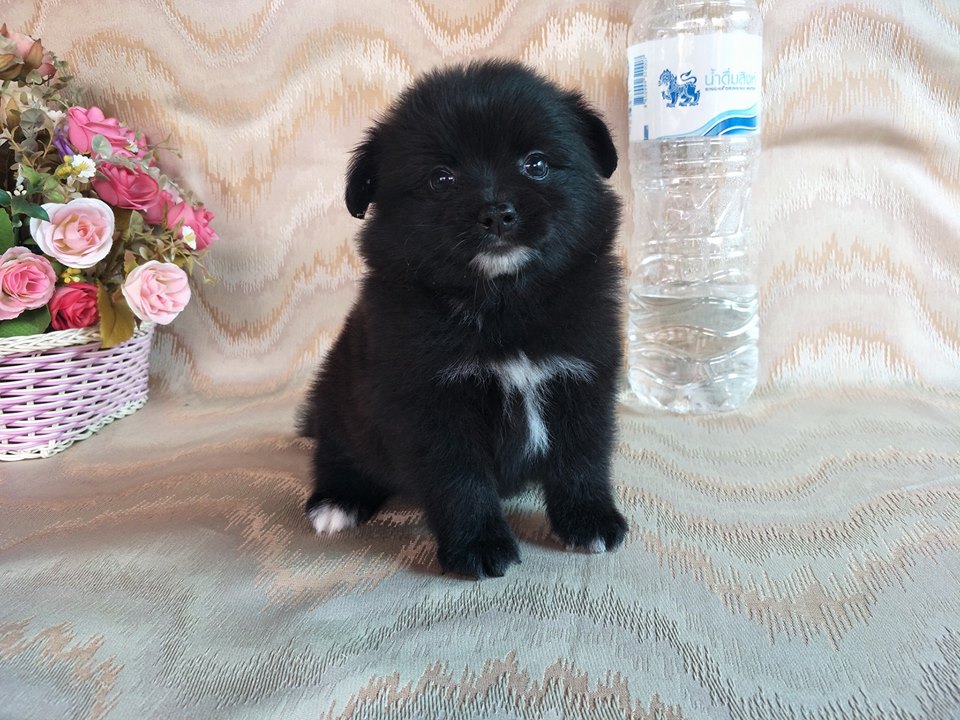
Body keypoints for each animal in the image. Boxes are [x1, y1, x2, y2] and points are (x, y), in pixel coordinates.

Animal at [299, 60, 627, 578]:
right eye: (440, 179)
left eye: (536, 164)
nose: (496, 214)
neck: (504, 301)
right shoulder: (432, 403)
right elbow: (460, 479)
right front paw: (478, 544)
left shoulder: (584, 378)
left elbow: (582, 457)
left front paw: (588, 519)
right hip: (339, 400)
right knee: (338, 452)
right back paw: (337, 501)